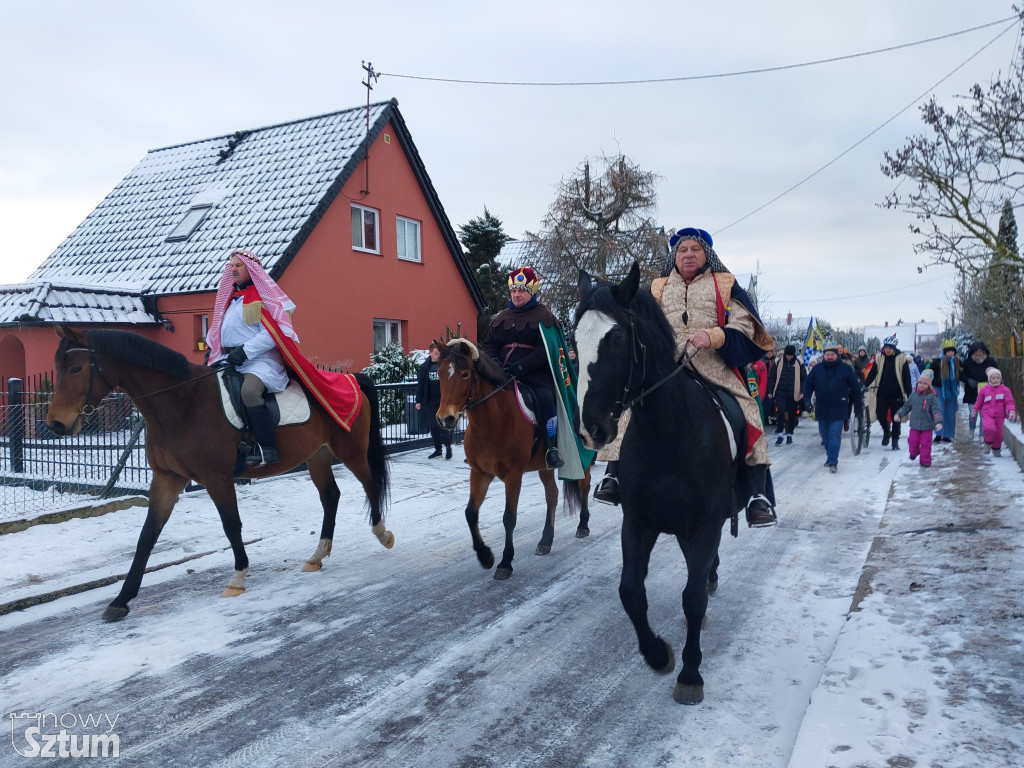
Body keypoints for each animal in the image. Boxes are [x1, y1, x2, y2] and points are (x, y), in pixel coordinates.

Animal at [43, 327, 391, 622]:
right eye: (58, 368)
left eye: (76, 368)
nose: (55, 424)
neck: (182, 404)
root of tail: (352, 379)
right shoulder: (167, 480)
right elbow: (147, 536)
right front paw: (121, 600)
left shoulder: (217, 479)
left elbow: (231, 525)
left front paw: (237, 577)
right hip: (317, 457)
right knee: (331, 496)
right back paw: (317, 555)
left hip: (351, 452)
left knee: (370, 485)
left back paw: (382, 533)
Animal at [434, 339, 593, 581]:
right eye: (440, 373)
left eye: (464, 374)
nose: (446, 418)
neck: (492, 420)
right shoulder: (480, 472)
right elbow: (470, 513)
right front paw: (485, 556)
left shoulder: (513, 475)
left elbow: (509, 517)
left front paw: (505, 562)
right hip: (544, 466)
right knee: (552, 495)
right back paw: (546, 540)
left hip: (581, 457)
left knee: (584, 485)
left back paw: (583, 524)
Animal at [577, 264, 737, 704]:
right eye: (573, 342)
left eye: (617, 339)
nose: (591, 428)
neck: (670, 433)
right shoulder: (638, 523)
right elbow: (631, 591)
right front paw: (658, 654)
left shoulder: (704, 527)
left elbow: (692, 597)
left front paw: (691, 673)